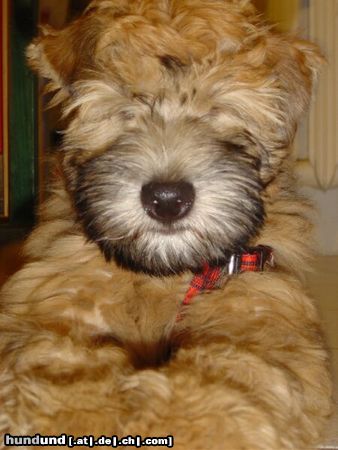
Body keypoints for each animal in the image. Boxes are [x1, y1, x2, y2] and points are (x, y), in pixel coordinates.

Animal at [0, 0, 332, 446]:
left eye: (218, 109)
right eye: (128, 106)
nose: (168, 200)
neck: (161, 275)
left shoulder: (270, 319)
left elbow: (232, 374)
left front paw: (177, 424)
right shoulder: (45, 303)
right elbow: (51, 359)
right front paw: (76, 417)